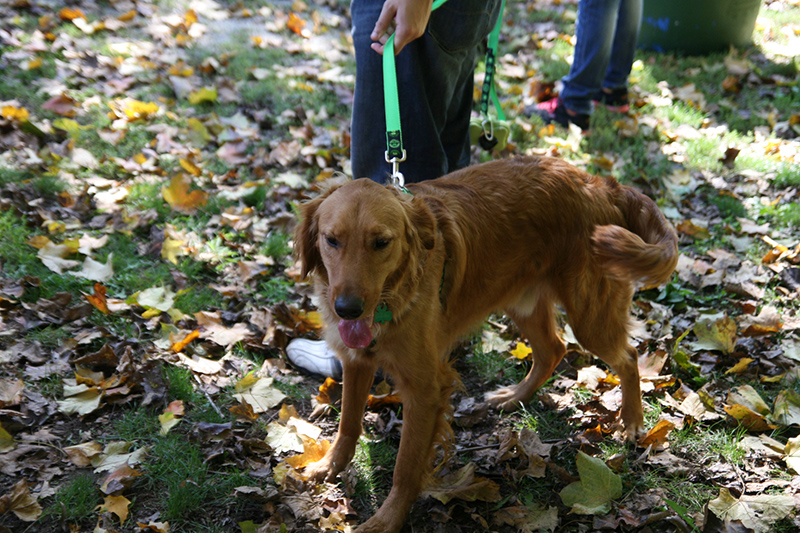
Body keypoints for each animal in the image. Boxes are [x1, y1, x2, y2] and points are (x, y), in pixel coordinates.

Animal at [294, 156, 676, 528]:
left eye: (381, 243)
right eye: (331, 240)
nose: (346, 310)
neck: (394, 295)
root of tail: (602, 185)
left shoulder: (426, 388)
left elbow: (406, 466)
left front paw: (387, 520)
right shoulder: (356, 361)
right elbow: (348, 423)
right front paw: (329, 465)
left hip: (589, 316)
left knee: (628, 355)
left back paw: (631, 421)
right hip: (520, 300)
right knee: (553, 350)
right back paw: (515, 396)